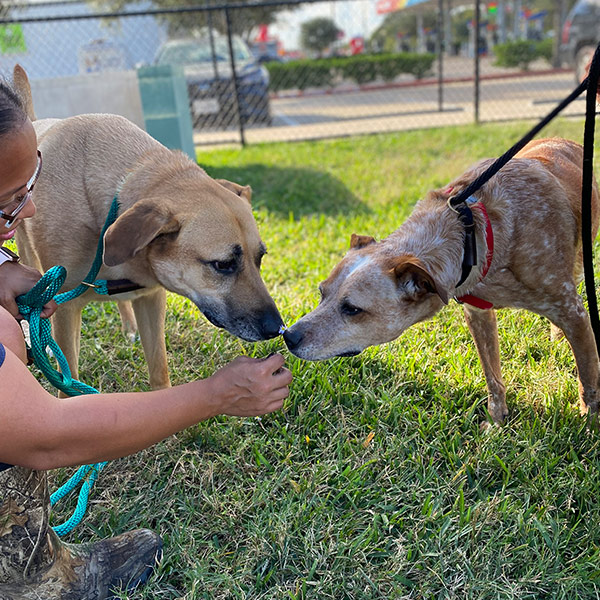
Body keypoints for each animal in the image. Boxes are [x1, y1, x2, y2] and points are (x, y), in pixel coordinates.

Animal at [12, 65, 284, 390]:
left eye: (260, 258)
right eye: (222, 264)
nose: (278, 328)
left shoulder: (150, 297)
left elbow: (159, 370)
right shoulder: (64, 308)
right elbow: (69, 383)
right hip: (28, 256)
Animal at [284, 138, 596, 424]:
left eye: (352, 309)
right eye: (321, 293)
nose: (288, 336)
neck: (473, 233)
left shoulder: (574, 311)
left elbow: (588, 379)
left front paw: (590, 427)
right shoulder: (477, 312)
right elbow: (492, 376)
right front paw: (497, 422)